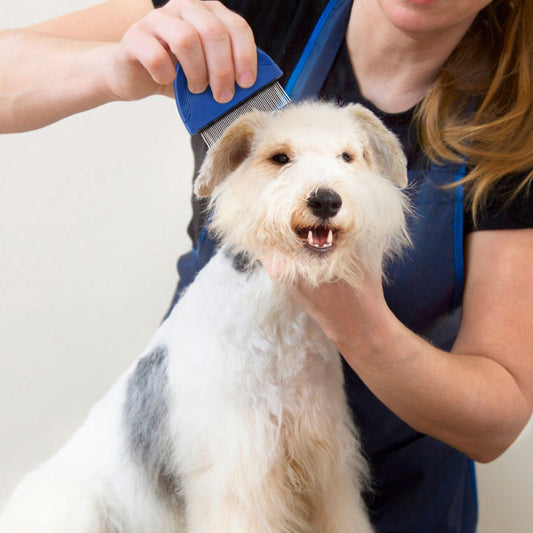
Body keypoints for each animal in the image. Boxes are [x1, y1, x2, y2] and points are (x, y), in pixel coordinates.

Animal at [0, 101, 410, 532]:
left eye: (348, 156)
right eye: (279, 157)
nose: (327, 200)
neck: (277, 329)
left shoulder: (326, 463)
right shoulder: (237, 470)